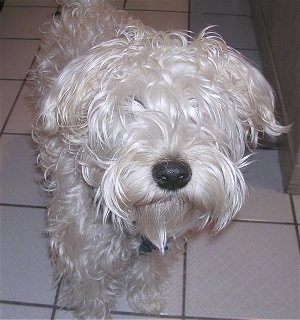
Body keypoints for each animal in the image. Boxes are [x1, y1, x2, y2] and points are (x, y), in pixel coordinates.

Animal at [31, 0, 288, 318]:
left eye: (197, 105)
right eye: (133, 103)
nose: (173, 174)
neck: (138, 222)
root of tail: (86, 6)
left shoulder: (160, 244)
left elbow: (148, 271)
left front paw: (146, 301)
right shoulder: (84, 254)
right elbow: (92, 295)